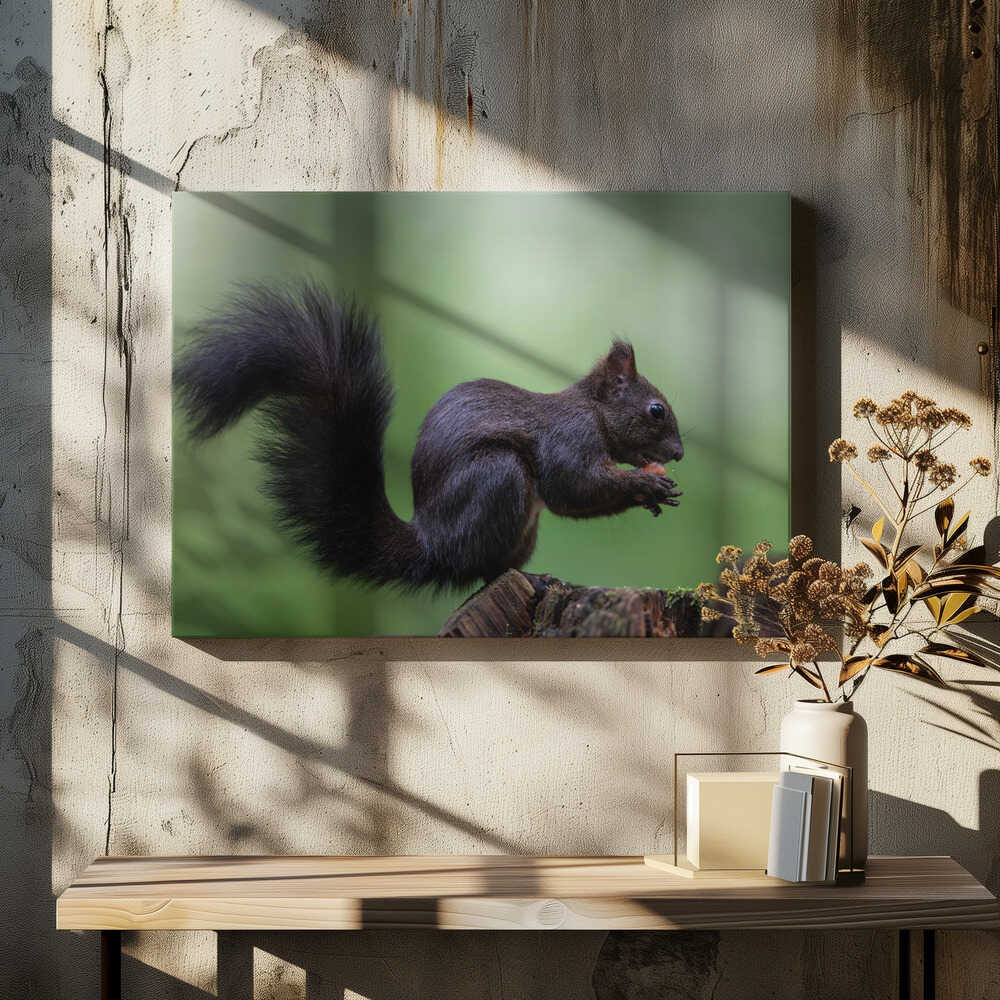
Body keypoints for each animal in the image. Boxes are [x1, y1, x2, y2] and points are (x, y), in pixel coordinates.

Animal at [175, 285, 684, 591]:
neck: (593, 411)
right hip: (498, 478)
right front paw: (647, 485)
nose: (678, 454)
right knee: (483, 569)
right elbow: (574, 486)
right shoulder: (569, 436)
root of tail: (432, 544)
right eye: (656, 410)